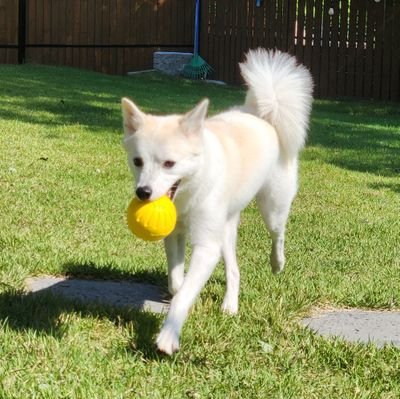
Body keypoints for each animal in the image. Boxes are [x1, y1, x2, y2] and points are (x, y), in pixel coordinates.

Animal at [121, 48, 312, 354]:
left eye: (169, 163)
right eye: (137, 161)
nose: (143, 192)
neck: (190, 193)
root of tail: (261, 115)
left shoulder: (206, 247)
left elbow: (182, 294)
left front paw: (168, 335)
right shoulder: (175, 236)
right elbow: (177, 282)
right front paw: (182, 291)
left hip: (272, 208)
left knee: (278, 234)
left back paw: (277, 263)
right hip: (225, 231)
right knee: (234, 270)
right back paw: (230, 306)